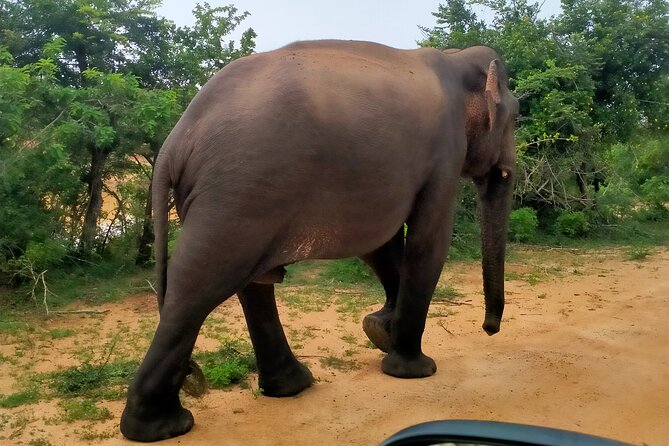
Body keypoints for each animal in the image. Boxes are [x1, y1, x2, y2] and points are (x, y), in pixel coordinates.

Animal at [120, 40, 518, 442]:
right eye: (515, 118)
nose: (490, 329)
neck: (455, 57)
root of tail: (174, 142)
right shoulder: (444, 153)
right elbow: (427, 242)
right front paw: (413, 369)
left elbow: (382, 242)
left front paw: (379, 330)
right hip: (237, 195)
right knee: (198, 287)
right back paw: (165, 427)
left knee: (247, 285)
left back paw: (288, 387)